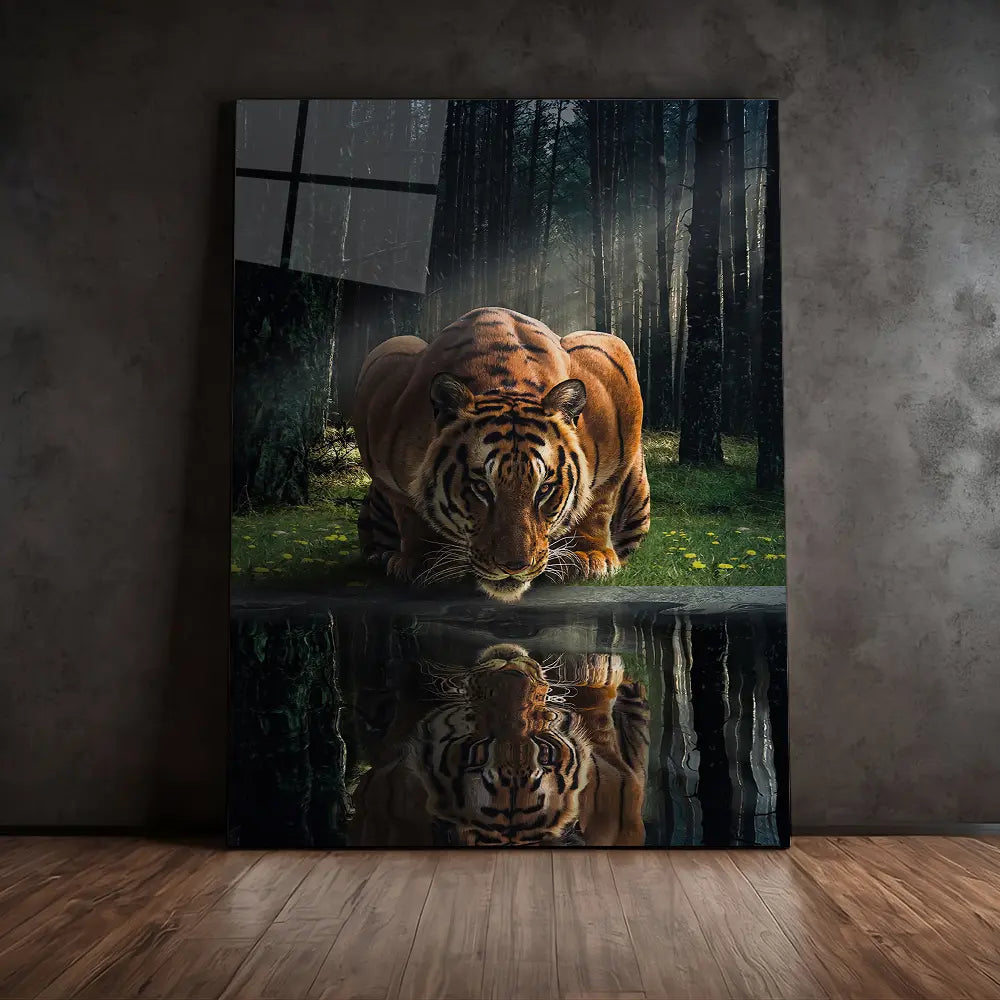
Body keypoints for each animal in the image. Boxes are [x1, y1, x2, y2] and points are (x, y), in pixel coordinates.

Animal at [351, 307, 650, 601]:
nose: (514, 567)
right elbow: (408, 510)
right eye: (481, 487)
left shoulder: (612, 370)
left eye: (544, 489)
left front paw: (588, 556)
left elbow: (599, 501)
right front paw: (425, 560)